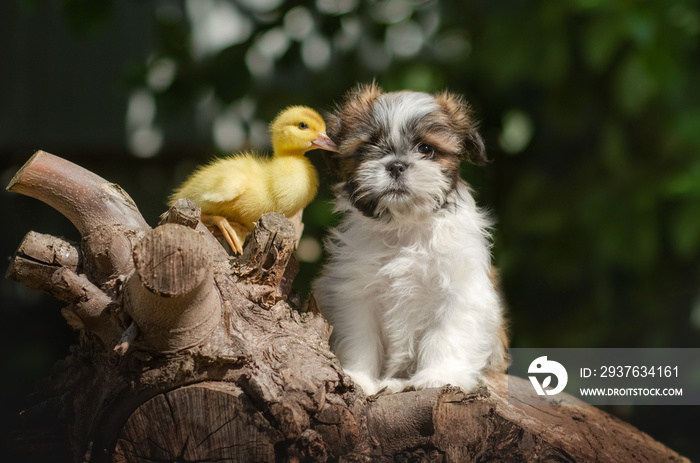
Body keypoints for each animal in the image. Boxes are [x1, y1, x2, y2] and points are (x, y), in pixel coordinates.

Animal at [314, 82, 506, 396]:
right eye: (367, 148)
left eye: (425, 149)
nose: (395, 165)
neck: (405, 226)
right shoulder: (355, 293)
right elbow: (361, 336)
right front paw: (359, 378)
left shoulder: (460, 288)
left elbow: (447, 334)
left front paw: (440, 376)